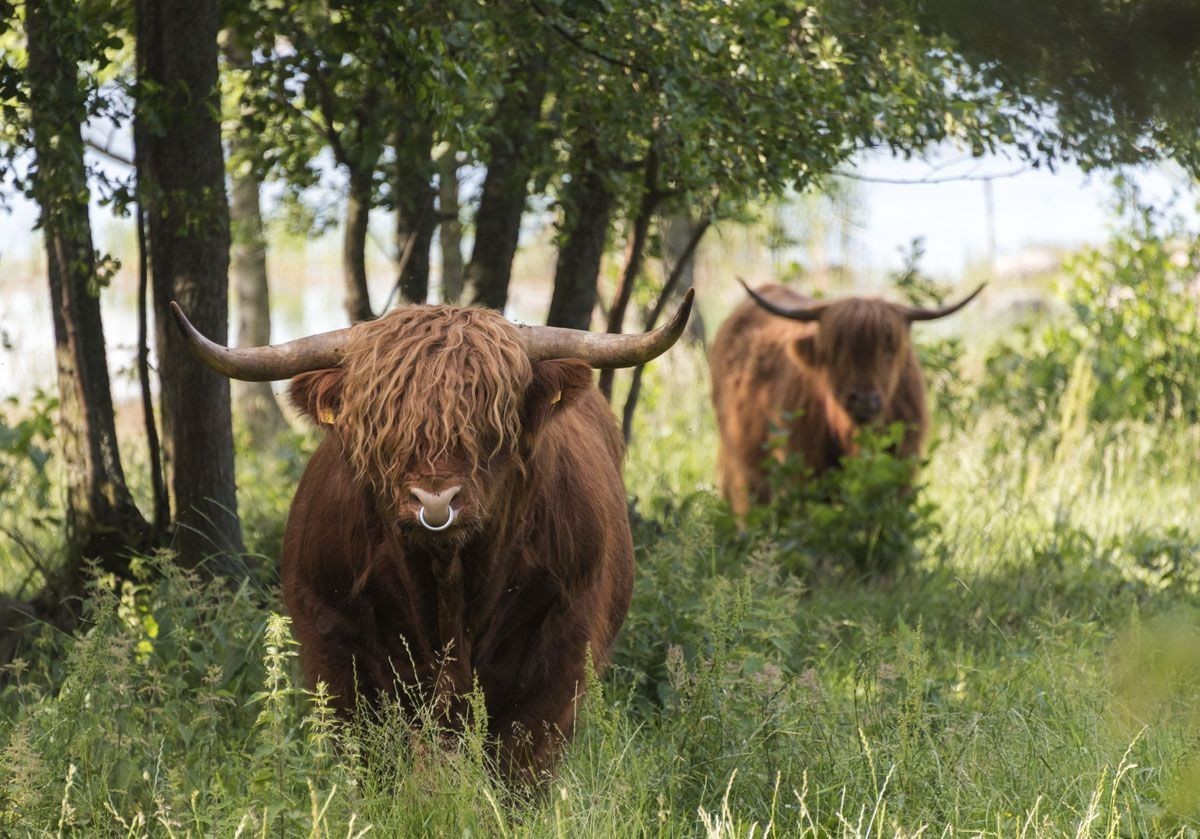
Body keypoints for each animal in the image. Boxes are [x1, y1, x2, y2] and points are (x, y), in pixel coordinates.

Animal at [170, 295, 696, 782]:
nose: (436, 499)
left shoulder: (562, 650)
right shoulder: (333, 642)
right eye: (383, 425)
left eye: (490, 423)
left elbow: (523, 765)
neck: (447, 590)